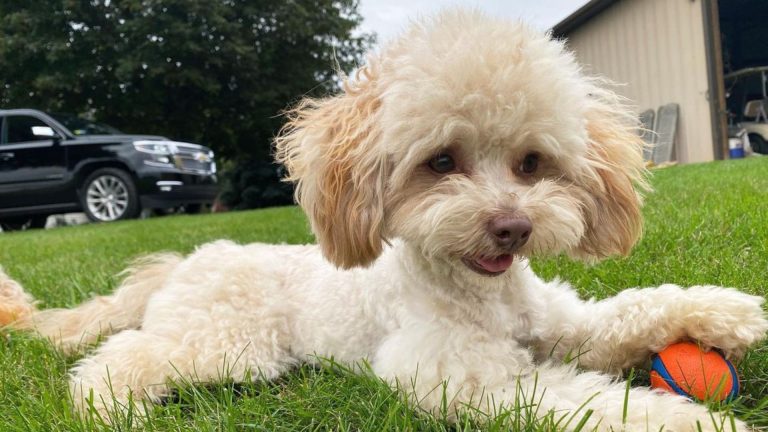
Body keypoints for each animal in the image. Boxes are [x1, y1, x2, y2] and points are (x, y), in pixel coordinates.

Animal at [1, 10, 768, 432]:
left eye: (531, 162)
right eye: (441, 161)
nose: (512, 228)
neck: (483, 296)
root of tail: (186, 262)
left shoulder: (566, 325)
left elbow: (633, 310)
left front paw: (726, 312)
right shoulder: (464, 377)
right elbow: (598, 405)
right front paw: (703, 425)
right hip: (227, 344)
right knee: (122, 355)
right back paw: (110, 408)